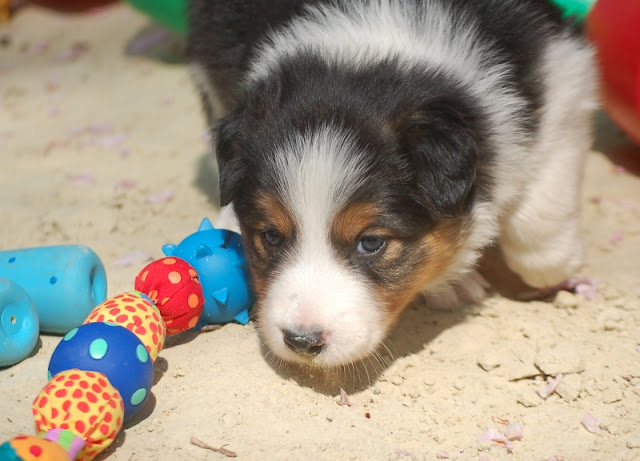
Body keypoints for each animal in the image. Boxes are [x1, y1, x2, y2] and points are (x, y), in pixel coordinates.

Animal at [188, 0, 596, 366]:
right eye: (271, 235)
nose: (301, 341)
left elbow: (539, 230)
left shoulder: (562, 74)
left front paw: (561, 265)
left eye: (371, 243)